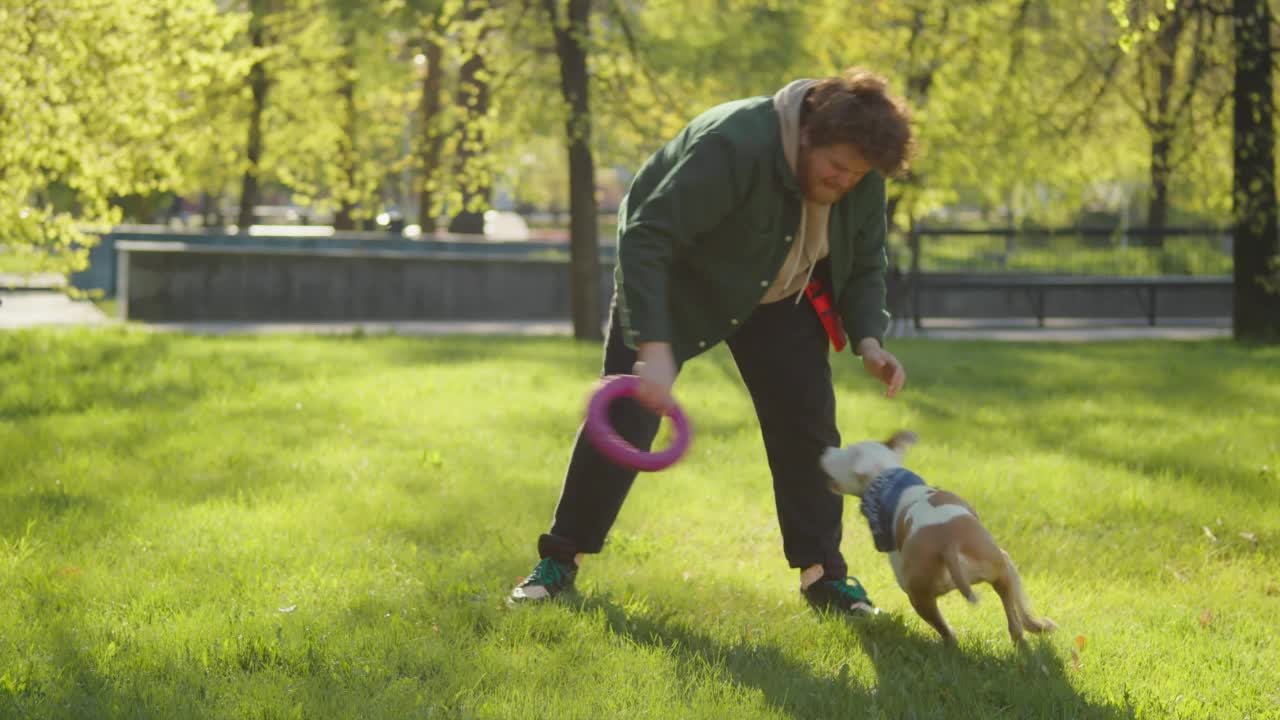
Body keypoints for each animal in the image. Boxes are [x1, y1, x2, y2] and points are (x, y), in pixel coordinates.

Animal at [824, 427, 1054, 640]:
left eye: (845, 451)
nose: (826, 450)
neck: (889, 479)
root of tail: (947, 542)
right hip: (995, 567)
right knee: (1012, 617)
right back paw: (1032, 631)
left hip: (919, 592)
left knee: (948, 632)